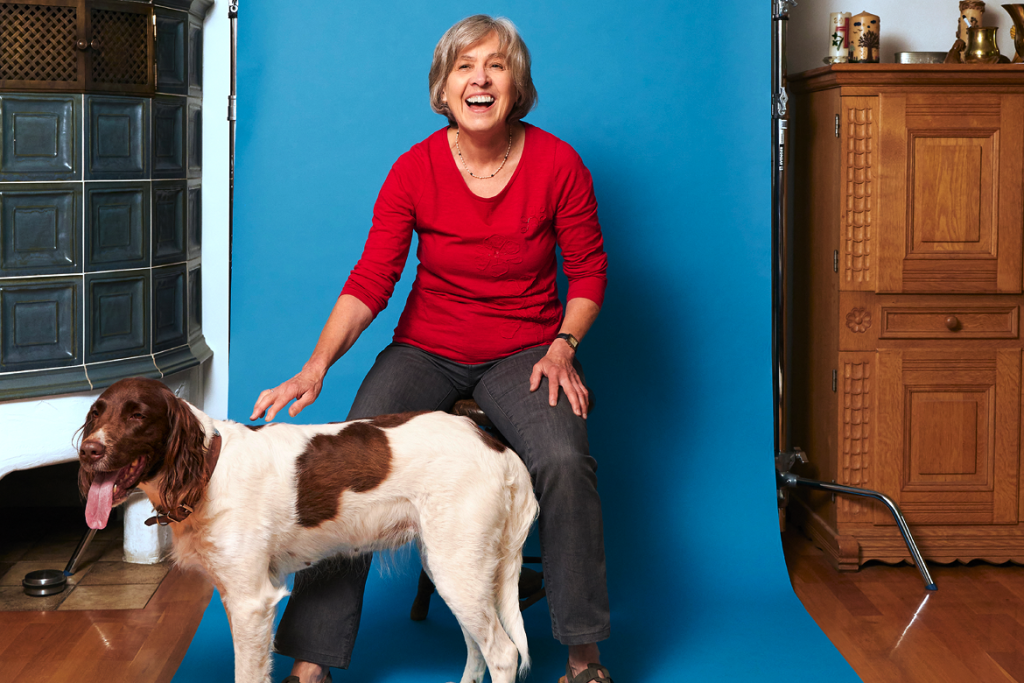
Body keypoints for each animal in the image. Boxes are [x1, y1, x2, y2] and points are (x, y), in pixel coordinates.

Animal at [76, 378, 540, 683]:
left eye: (138, 416)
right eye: (96, 411)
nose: (88, 450)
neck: (206, 471)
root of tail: (497, 446)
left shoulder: (251, 603)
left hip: (457, 567)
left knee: (502, 653)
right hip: (452, 566)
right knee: (477, 646)